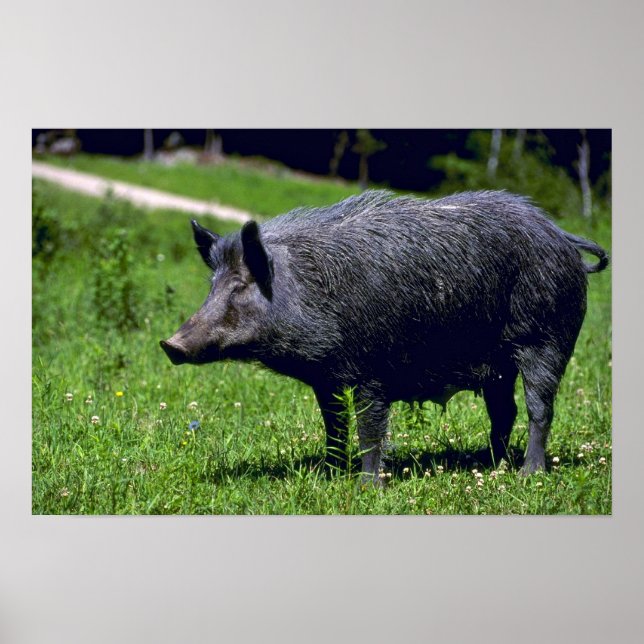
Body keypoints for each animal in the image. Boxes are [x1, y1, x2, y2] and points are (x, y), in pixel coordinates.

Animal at [160, 190, 609, 483]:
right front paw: (328, 475)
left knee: (539, 408)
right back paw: (491, 464)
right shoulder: (326, 378)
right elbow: (334, 425)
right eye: (212, 285)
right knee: (505, 411)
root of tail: (563, 238)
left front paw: (366, 486)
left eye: (240, 286)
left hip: (546, 338)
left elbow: (370, 430)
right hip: (499, 364)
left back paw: (528, 474)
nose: (170, 344)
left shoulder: (371, 372)